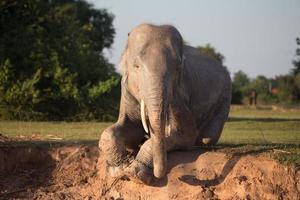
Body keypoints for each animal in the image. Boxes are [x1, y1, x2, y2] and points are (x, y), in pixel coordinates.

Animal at [99, 23, 231, 184]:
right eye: (136, 66)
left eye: (178, 67)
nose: (186, 177)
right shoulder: (126, 92)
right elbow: (126, 129)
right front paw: (119, 169)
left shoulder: (180, 97)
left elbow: (184, 135)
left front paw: (135, 174)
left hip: (225, 95)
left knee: (208, 137)